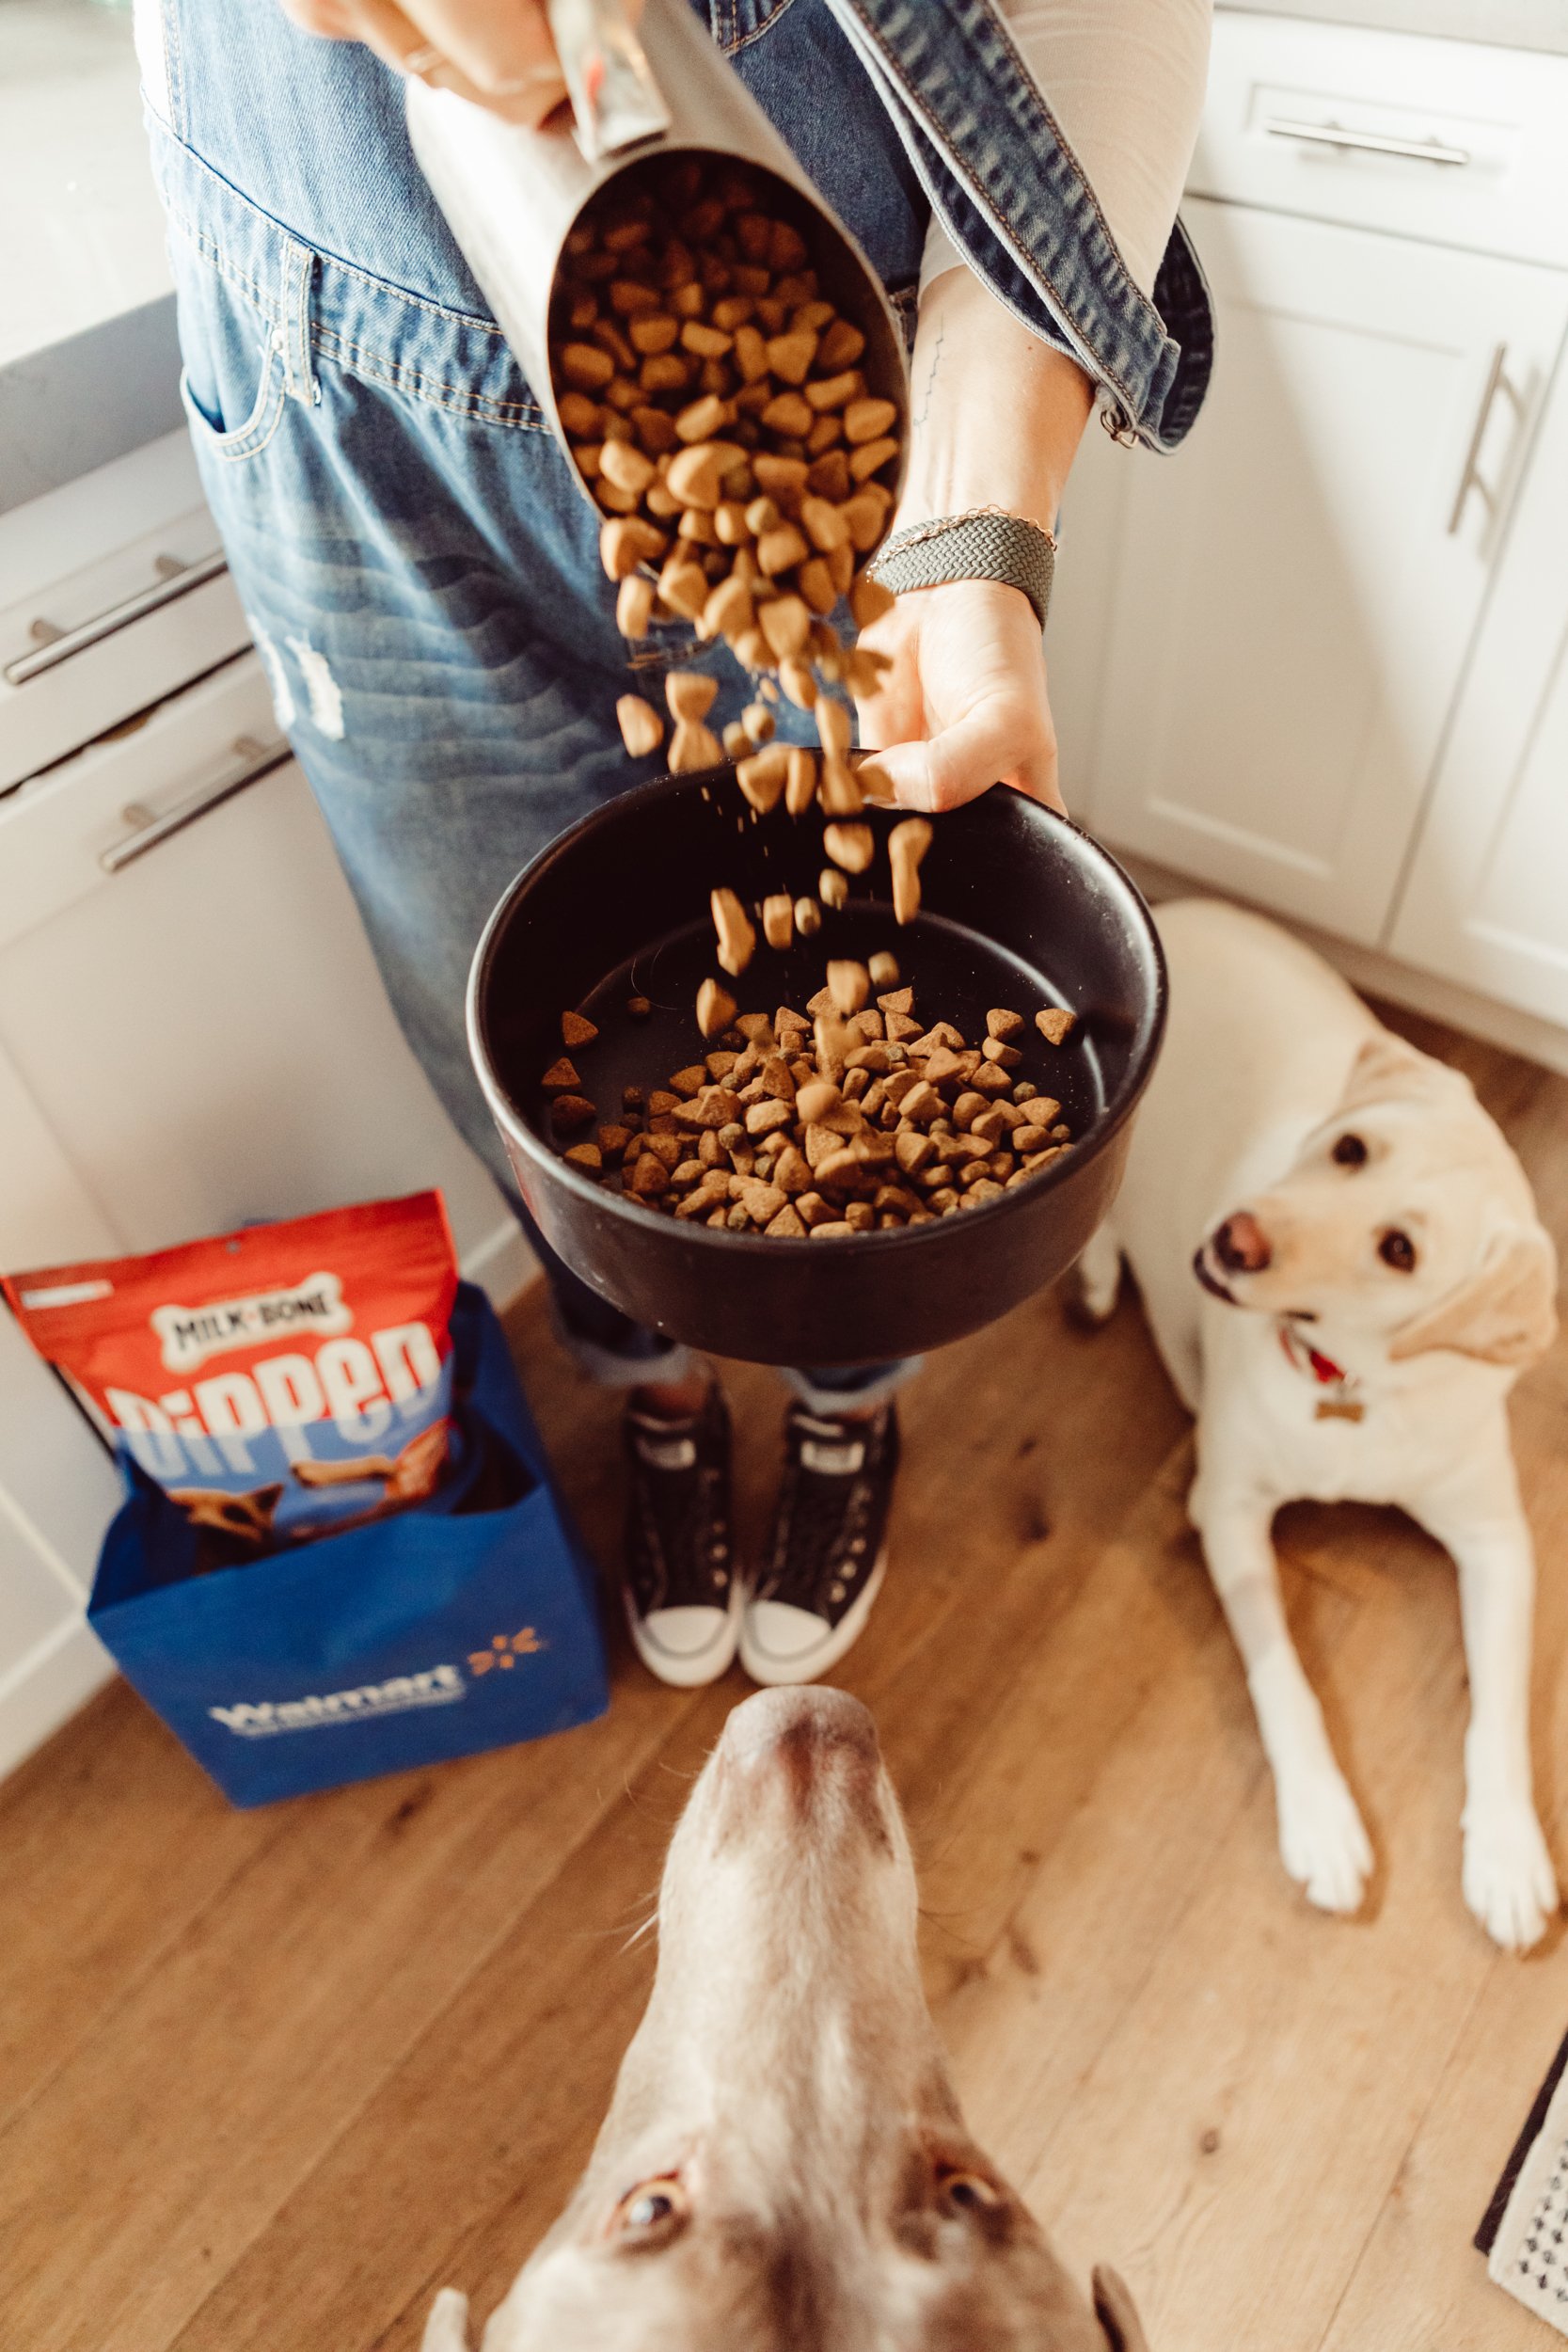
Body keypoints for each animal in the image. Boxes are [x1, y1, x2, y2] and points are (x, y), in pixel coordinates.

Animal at [1085, 894, 1560, 1947]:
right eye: (1349, 1150)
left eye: (1398, 1250)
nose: (1233, 1239)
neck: (1346, 1385)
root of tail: (1172, 909)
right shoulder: (1225, 1509)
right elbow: (1284, 1682)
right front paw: (1322, 1823)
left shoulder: (1498, 1541)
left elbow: (1500, 1709)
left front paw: (1507, 1855)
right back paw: (1096, 1273)